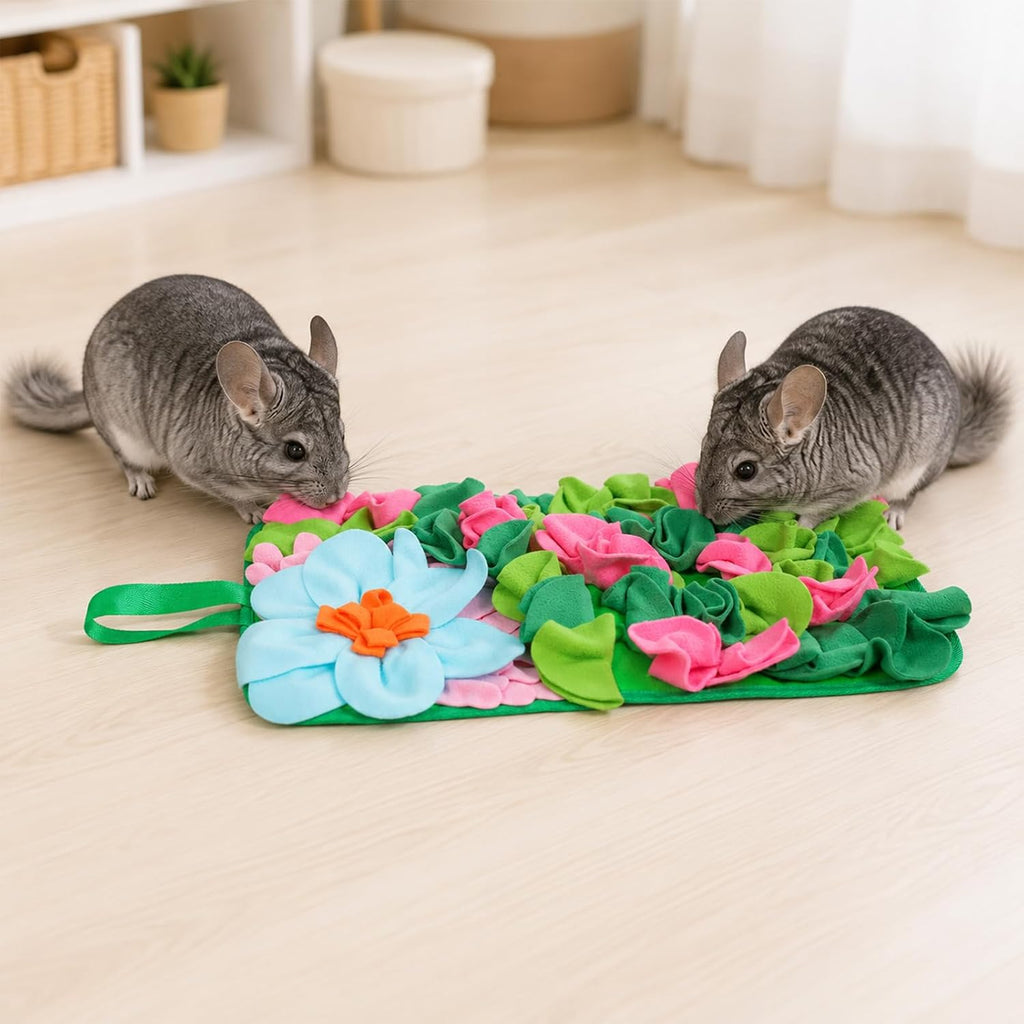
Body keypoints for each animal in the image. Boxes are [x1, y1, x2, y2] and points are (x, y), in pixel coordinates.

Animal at [5, 274, 350, 523]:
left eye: (342, 434)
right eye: (294, 451)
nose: (336, 497)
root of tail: (85, 388)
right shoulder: (194, 468)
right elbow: (235, 496)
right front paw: (255, 512)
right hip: (124, 435)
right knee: (123, 458)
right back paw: (141, 481)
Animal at [693, 306, 1012, 530]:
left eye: (746, 470)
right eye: (703, 446)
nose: (705, 513)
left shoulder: (857, 483)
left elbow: (817, 514)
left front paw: (801, 528)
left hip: (918, 469)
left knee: (909, 495)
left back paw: (893, 515)